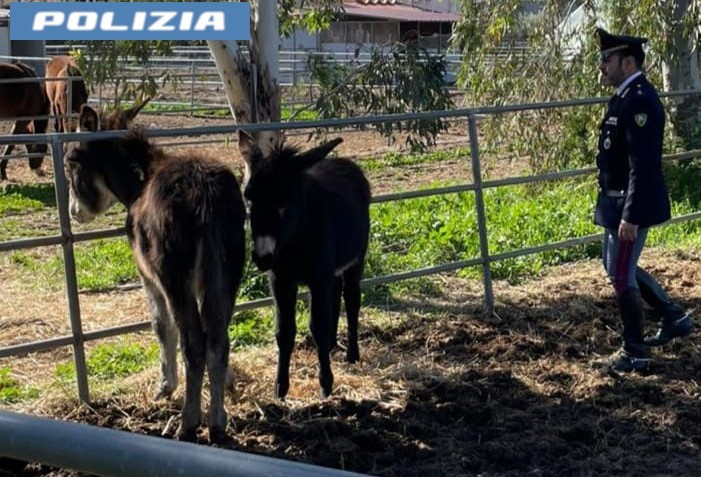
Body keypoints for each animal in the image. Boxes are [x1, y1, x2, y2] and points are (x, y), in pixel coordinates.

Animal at [63, 101, 247, 442]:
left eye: (71, 161)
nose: (74, 212)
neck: (140, 182)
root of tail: (202, 192)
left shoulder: (148, 276)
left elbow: (161, 326)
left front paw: (165, 388)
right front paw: (227, 383)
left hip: (173, 276)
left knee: (194, 343)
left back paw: (189, 423)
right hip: (228, 269)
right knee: (218, 339)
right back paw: (217, 422)